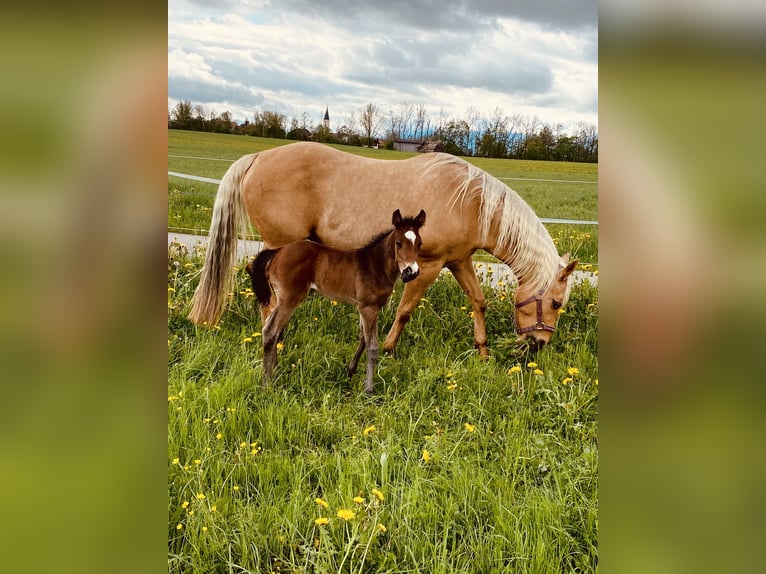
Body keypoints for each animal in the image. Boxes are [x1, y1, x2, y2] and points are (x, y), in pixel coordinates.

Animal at [189, 142, 578, 354]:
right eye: (555, 303)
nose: (538, 345)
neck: (470, 201)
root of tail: (256, 157)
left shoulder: (458, 261)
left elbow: (478, 301)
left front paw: (481, 349)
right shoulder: (429, 265)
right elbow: (406, 309)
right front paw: (389, 348)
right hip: (279, 246)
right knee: (267, 291)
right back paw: (275, 337)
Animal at [245, 209, 426, 394]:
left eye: (419, 244)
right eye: (398, 243)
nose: (412, 272)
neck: (375, 266)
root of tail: (277, 253)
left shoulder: (364, 307)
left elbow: (362, 338)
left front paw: (350, 373)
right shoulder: (368, 307)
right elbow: (372, 346)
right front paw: (369, 390)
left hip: (280, 298)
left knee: (272, 329)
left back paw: (276, 374)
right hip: (289, 299)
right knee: (271, 330)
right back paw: (267, 383)